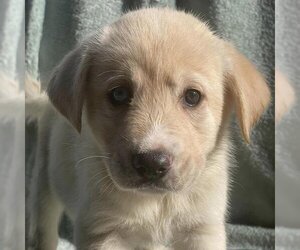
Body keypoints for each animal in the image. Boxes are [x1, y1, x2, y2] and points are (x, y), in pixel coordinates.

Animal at [28, 7, 270, 250]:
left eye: (192, 96)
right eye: (119, 94)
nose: (152, 163)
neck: (158, 204)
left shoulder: (202, 228)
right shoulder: (103, 230)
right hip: (43, 184)